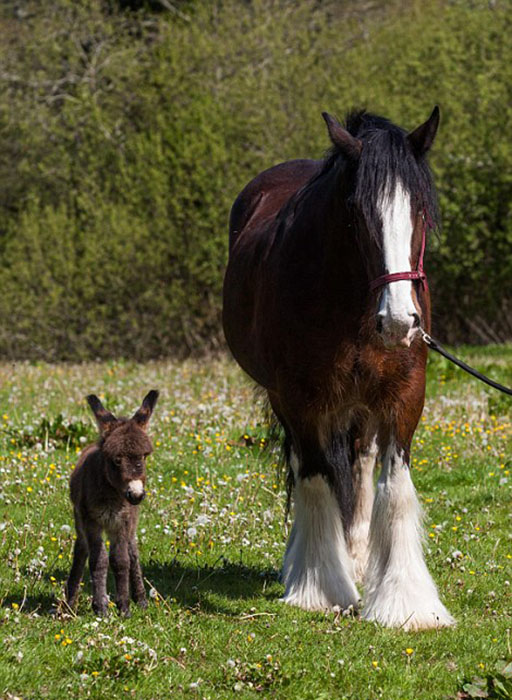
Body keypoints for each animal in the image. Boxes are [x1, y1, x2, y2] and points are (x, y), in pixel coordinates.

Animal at [65, 392, 159, 616]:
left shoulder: (122, 522)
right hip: (80, 520)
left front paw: (124, 606)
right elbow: (98, 561)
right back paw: (69, 602)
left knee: (133, 552)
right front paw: (100, 607)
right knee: (81, 550)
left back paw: (141, 599)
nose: (136, 494)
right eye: (116, 460)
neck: (112, 497)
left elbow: (121, 560)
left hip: (131, 522)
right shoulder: (92, 522)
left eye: (144, 456)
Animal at [222, 106, 454, 632]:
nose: (399, 321)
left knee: (361, 466)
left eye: (420, 211)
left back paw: (360, 558)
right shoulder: (300, 398)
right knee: (308, 467)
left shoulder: (405, 394)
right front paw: (319, 588)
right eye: (357, 215)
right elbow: (314, 479)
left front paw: (405, 601)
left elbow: (394, 487)